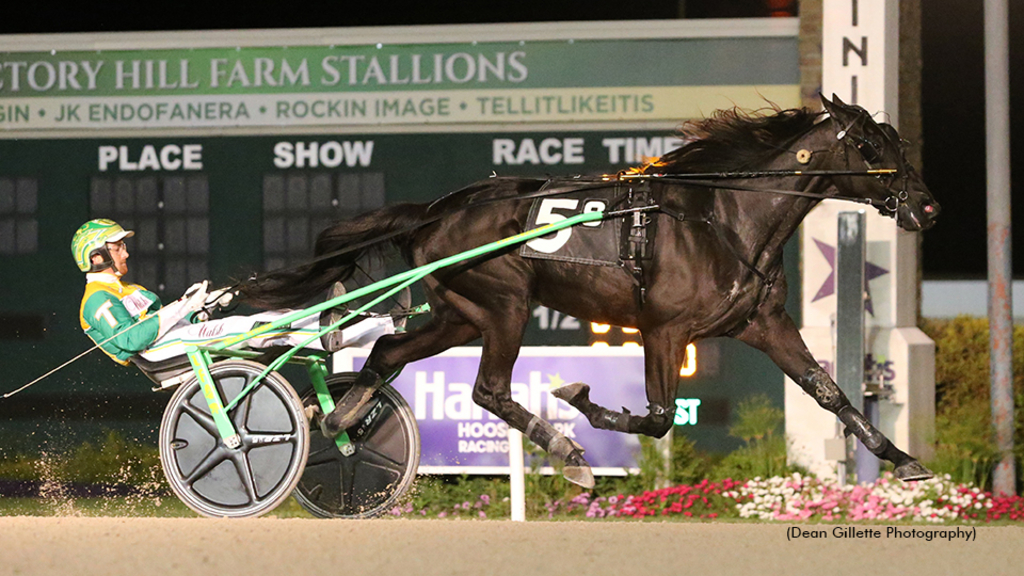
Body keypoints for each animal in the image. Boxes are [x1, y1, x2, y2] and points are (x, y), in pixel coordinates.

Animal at [237, 94, 937, 483]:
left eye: (897, 140)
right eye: (870, 144)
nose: (927, 207)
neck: (727, 215)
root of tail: (434, 211)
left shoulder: (764, 325)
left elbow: (831, 393)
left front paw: (904, 459)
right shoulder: (665, 330)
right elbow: (657, 417)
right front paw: (581, 400)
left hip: (462, 313)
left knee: (387, 351)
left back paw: (340, 421)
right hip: (506, 303)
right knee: (488, 389)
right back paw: (568, 452)